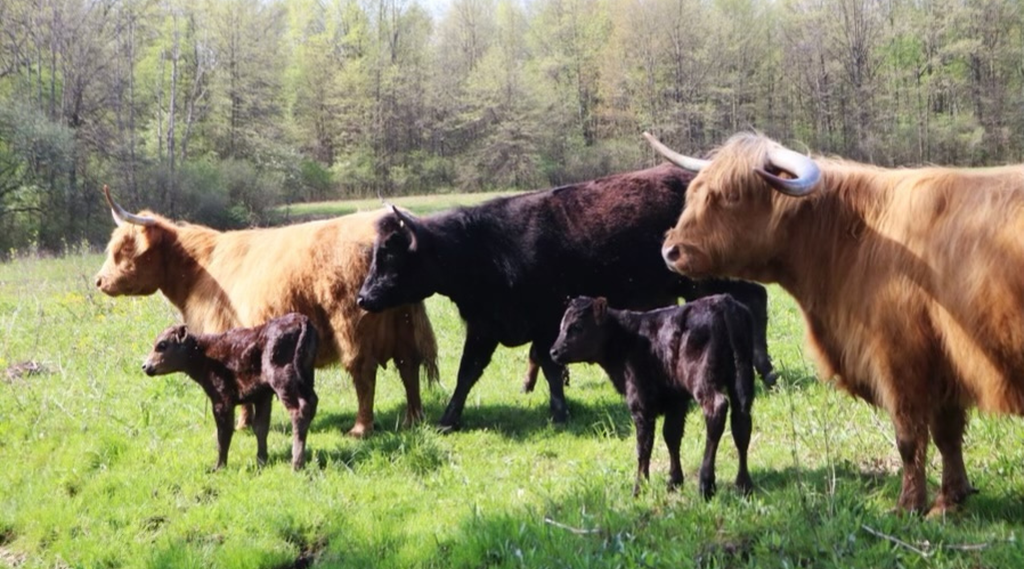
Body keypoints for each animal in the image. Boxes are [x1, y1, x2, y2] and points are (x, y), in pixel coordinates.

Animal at [94, 187, 438, 438]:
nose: (99, 281)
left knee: (363, 372)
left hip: (353, 323)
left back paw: (360, 429)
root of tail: (389, 219)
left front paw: (241, 425)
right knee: (409, 366)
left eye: (122, 250)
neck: (198, 269)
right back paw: (414, 419)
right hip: (404, 321)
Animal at [142, 313, 319, 470]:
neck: (204, 354)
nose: (145, 366)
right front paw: (261, 461)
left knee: (299, 411)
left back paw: (296, 464)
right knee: (312, 403)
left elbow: (224, 432)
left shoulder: (222, 401)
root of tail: (302, 320)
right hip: (305, 380)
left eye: (162, 345)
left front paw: (219, 467)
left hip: (283, 383)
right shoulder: (262, 397)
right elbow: (260, 428)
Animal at [356, 164, 776, 431]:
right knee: (755, 299)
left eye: (390, 254)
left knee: (756, 299)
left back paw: (765, 369)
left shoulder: (546, 319)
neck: (485, 248)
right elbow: (468, 371)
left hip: (707, 281)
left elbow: (549, 364)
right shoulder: (485, 326)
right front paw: (448, 419)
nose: (362, 297)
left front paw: (558, 411)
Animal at [550, 296, 756, 498]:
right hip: (742, 377)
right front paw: (674, 481)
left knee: (717, 409)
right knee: (741, 422)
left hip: (703, 379)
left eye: (577, 326)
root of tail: (724, 302)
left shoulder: (641, 402)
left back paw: (706, 484)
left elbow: (644, 446)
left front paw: (639, 488)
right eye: (561, 326)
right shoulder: (676, 399)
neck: (626, 339)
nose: (553, 351)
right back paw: (743, 484)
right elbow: (671, 435)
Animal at [646, 130, 1024, 515]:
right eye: (695, 192)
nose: (670, 250)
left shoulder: (900, 362)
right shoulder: (943, 366)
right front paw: (949, 501)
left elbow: (909, 438)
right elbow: (947, 436)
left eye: (732, 196)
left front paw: (908, 506)